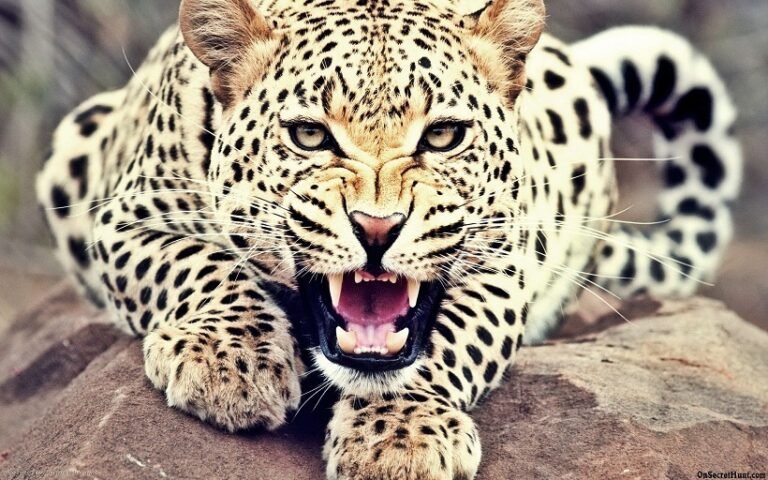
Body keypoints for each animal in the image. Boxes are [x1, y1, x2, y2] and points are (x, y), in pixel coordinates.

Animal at [36, 0, 742, 478]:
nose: (377, 227)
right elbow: (201, 264)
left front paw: (400, 437)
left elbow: (446, 343)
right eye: (310, 135)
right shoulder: (123, 216)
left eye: (443, 136)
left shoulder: (502, 258)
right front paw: (229, 363)